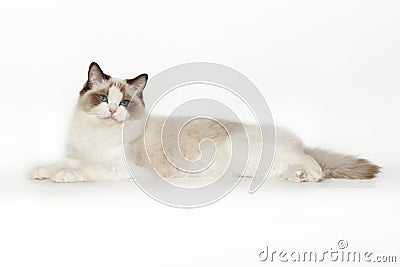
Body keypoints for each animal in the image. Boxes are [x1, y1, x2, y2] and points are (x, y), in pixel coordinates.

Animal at [31, 62, 378, 184]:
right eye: (103, 99)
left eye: (125, 103)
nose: (115, 111)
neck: (98, 137)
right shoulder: (79, 154)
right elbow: (61, 163)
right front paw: (42, 172)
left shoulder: (116, 167)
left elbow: (85, 171)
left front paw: (63, 177)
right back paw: (299, 176)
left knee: (310, 162)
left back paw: (308, 176)